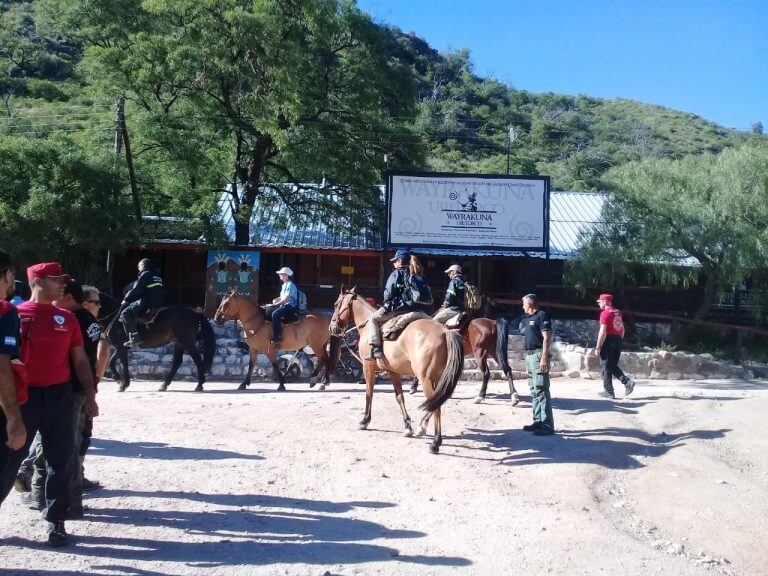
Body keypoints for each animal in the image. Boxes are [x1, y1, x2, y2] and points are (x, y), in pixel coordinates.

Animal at [328, 288, 464, 454]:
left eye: (336, 304)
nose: (332, 327)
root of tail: (445, 332)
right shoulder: (394, 372)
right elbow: (400, 397)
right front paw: (407, 426)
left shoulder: (367, 367)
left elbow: (369, 394)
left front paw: (365, 421)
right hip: (439, 379)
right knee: (435, 403)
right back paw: (422, 427)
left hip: (426, 379)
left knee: (436, 406)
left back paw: (435, 442)